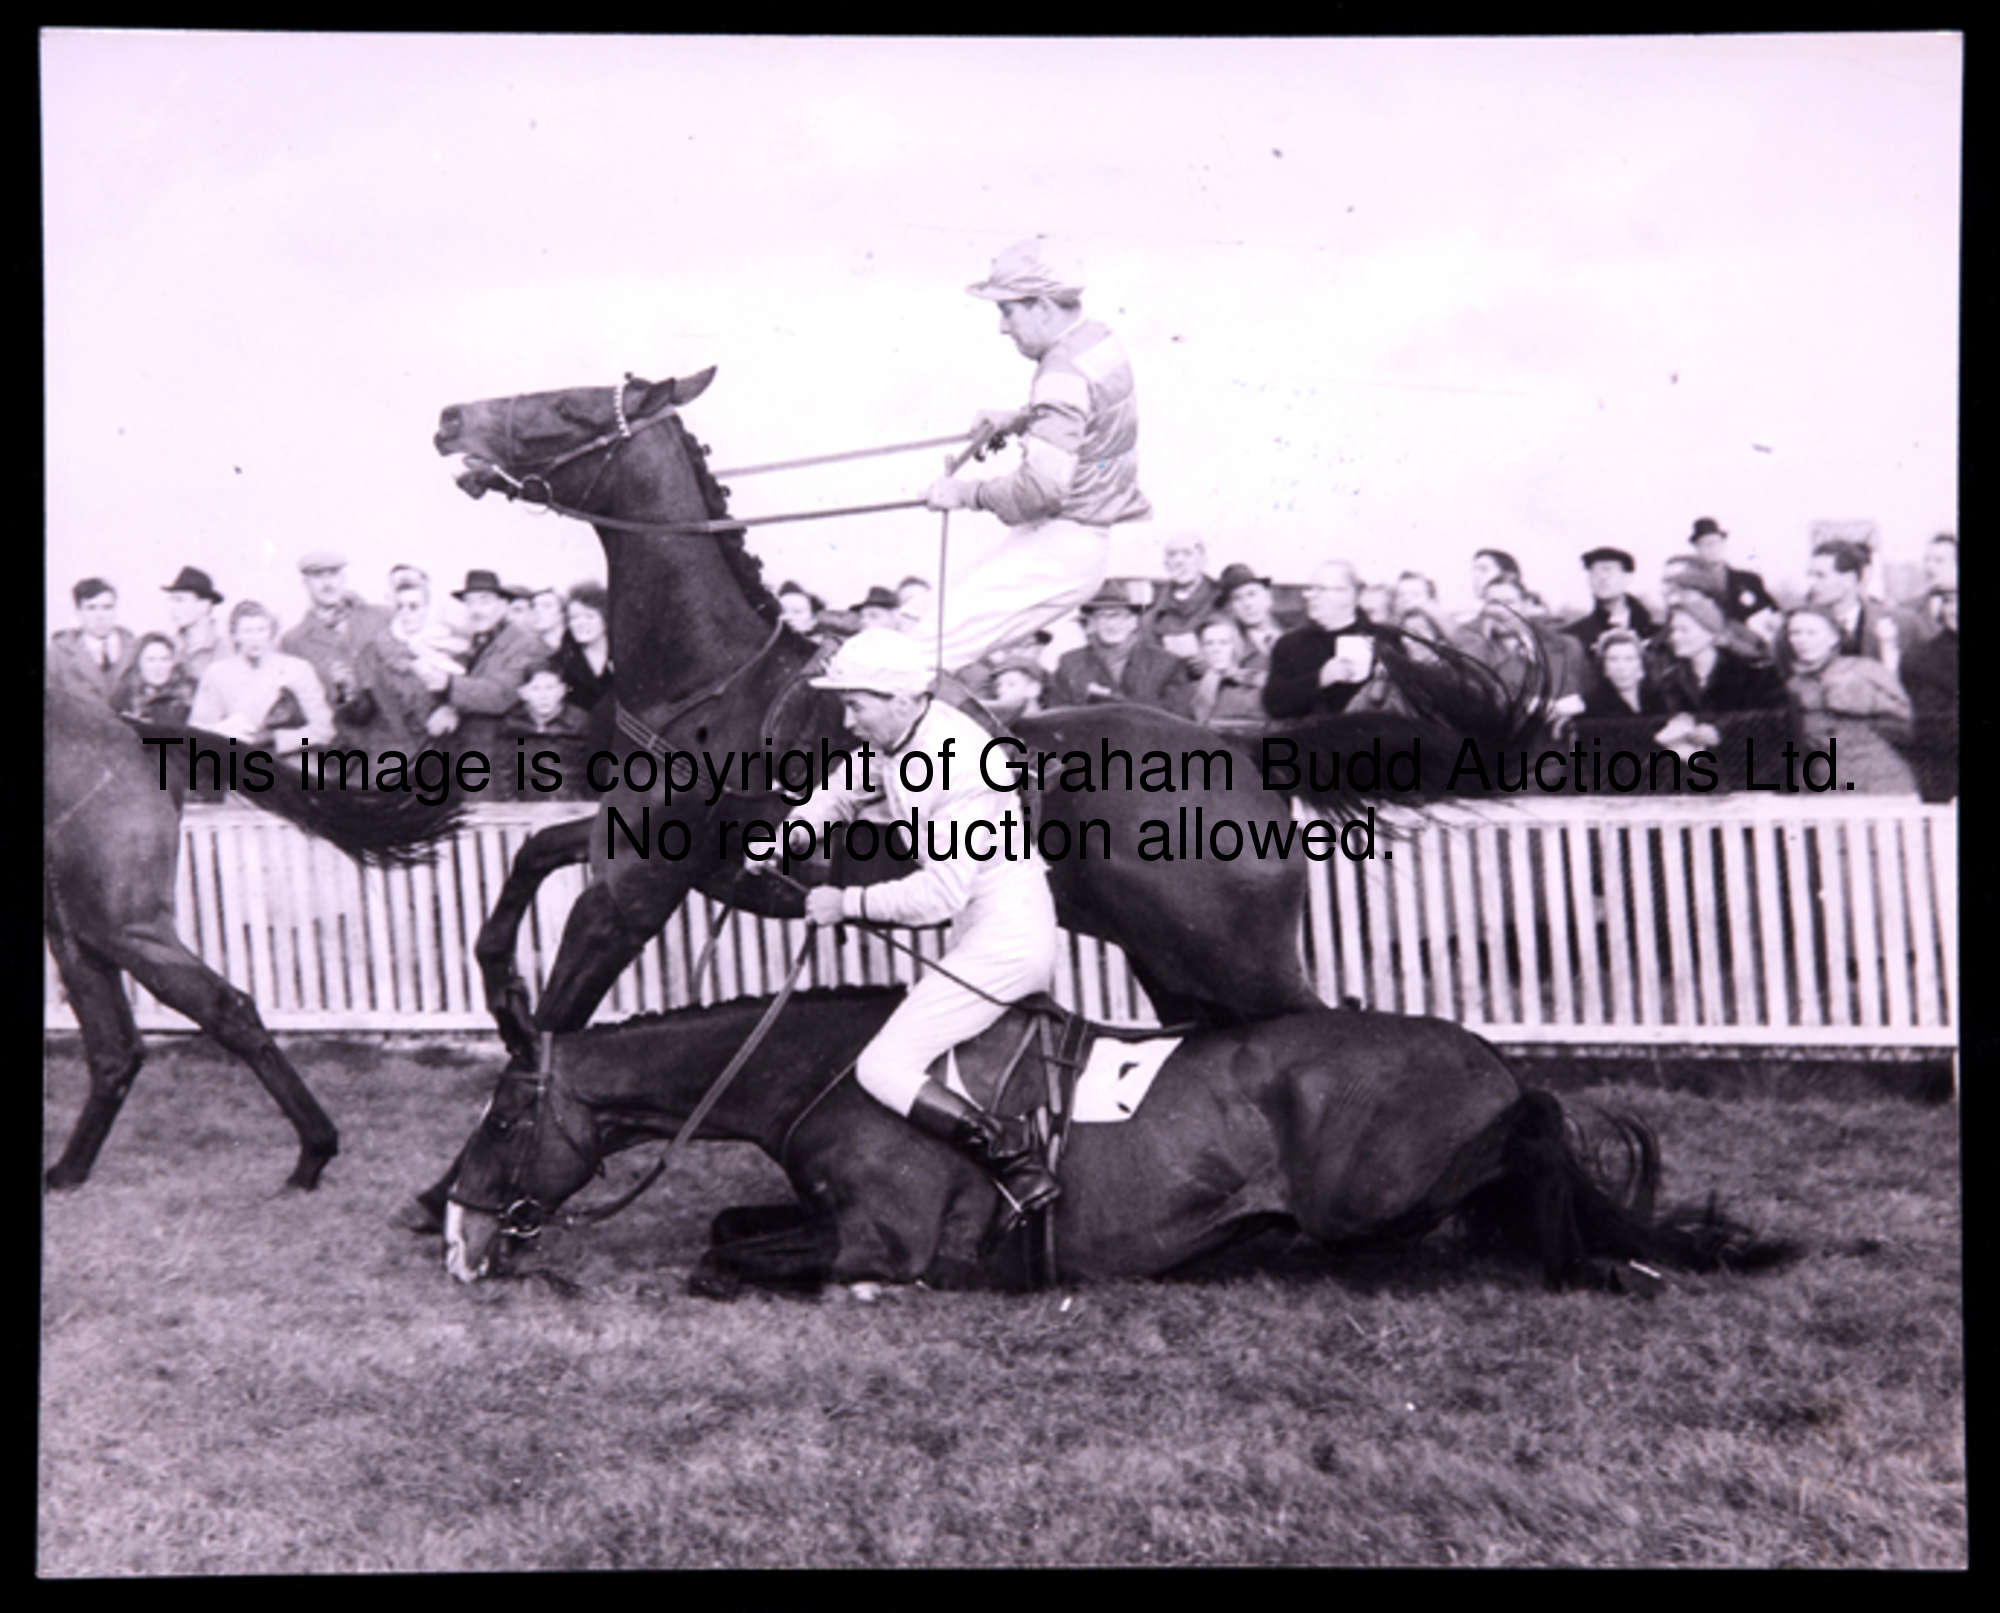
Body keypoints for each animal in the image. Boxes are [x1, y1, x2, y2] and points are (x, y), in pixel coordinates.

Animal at [45, 688, 462, 1192]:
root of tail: (132, 729)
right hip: (79, 929)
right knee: (116, 1049)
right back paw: (68, 1171)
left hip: (119, 924)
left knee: (225, 1010)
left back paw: (312, 1155)